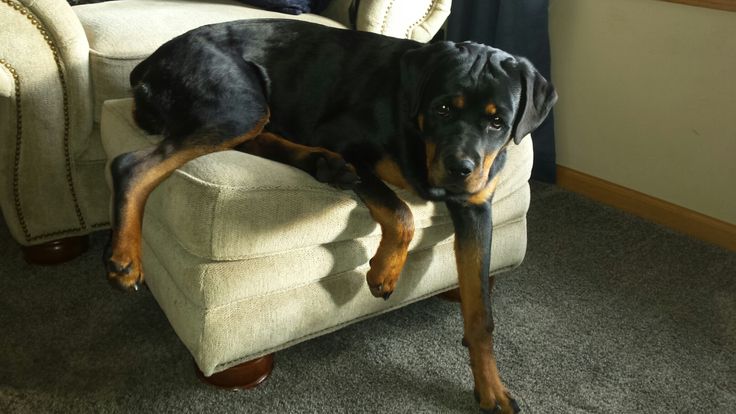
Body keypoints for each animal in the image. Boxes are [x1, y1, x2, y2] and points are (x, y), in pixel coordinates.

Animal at [106, 19, 556, 414]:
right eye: (443, 108)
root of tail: (150, 62)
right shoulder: (346, 140)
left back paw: (325, 166)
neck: (417, 132)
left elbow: (481, 310)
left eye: (497, 122)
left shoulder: (477, 206)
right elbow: (401, 211)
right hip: (239, 104)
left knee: (256, 139)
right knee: (133, 164)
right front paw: (384, 272)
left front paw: (492, 388)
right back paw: (125, 258)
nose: (460, 168)